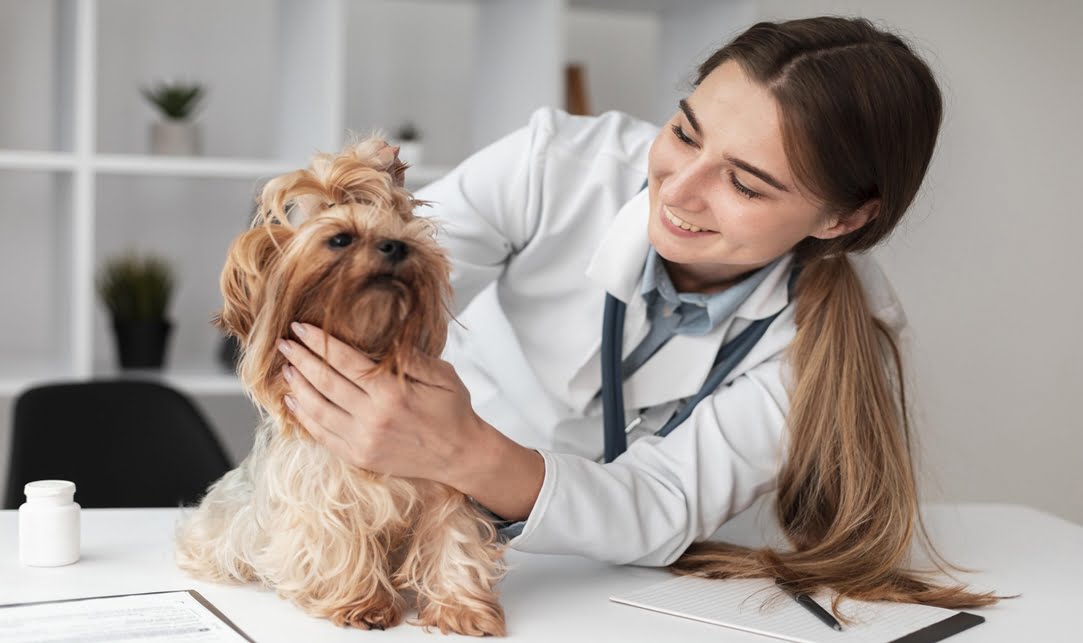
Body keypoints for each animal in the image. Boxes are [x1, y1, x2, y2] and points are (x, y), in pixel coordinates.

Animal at [175, 137, 509, 632]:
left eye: (404, 232)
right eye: (339, 240)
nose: (396, 246)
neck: (367, 344)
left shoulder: (445, 472)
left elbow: (455, 537)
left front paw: (462, 607)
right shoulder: (321, 493)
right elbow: (338, 538)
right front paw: (363, 604)